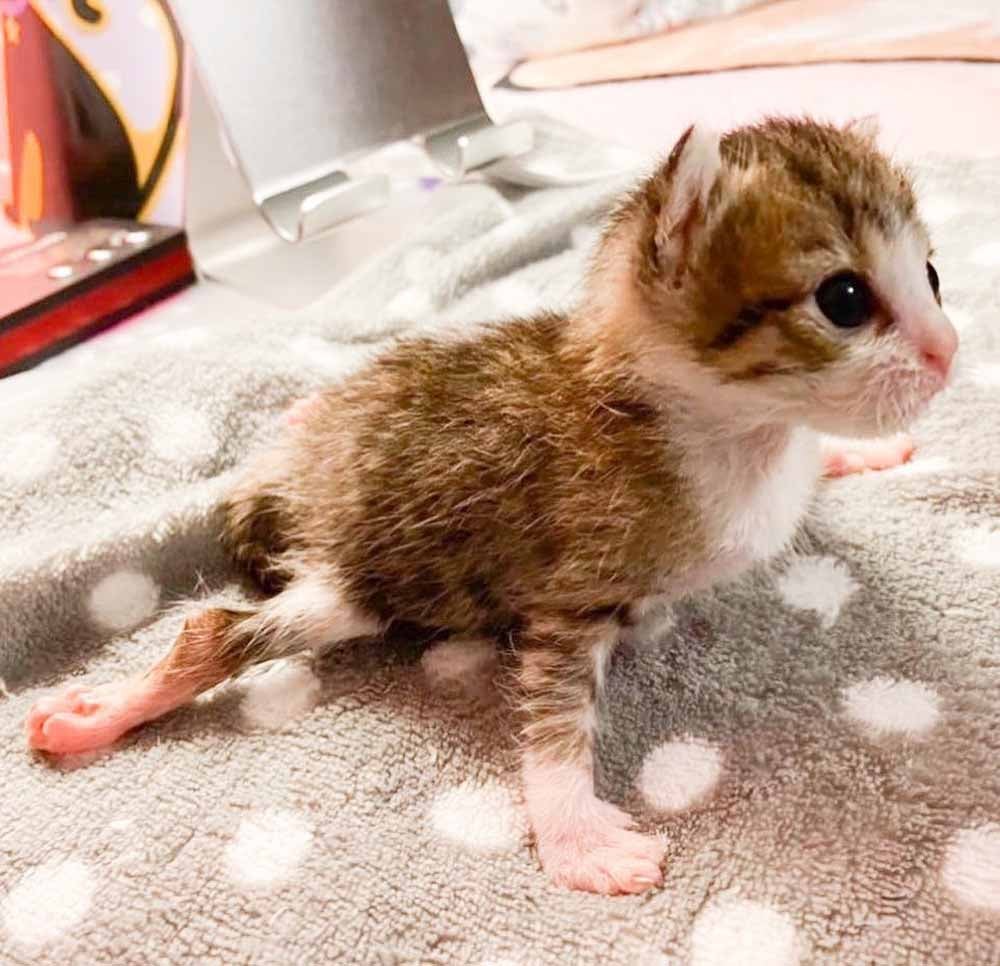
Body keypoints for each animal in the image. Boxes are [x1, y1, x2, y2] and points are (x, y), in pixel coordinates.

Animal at [27, 117, 956, 896]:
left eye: (935, 275)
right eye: (844, 299)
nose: (949, 352)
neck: (728, 428)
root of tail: (303, 480)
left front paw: (859, 452)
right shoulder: (573, 589)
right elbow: (555, 720)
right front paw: (577, 836)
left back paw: (298, 412)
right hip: (363, 583)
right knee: (211, 631)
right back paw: (105, 712)